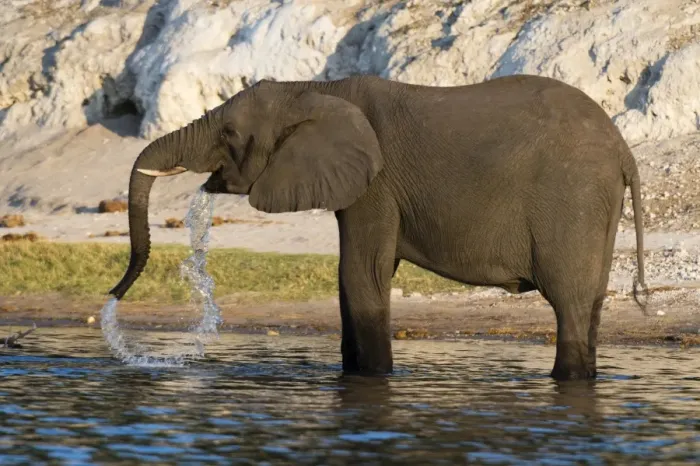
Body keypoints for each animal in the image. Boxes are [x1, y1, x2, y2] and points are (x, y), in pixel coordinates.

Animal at [108, 74, 647, 381]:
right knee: (592, 302)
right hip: (597, 205)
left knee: (568, 302)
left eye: (229, 133)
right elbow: (355, 281)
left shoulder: (376, 185)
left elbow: (361, 274)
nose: (113, 296)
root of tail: (623, 148)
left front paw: (374, 379)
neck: (315, 90)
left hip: (572, 197)